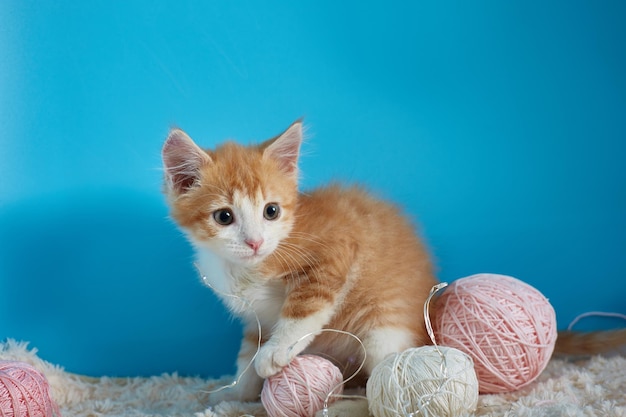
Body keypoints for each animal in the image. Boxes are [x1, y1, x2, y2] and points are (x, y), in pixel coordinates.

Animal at [161, 119, 434, 400]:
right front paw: (235, 394)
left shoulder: (338, 248)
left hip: (386, 327)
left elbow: (305, 308)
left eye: (271, 211)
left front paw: (276, 351)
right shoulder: (257, 318)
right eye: (224, 217)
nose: (255, 242)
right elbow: (248, 351)